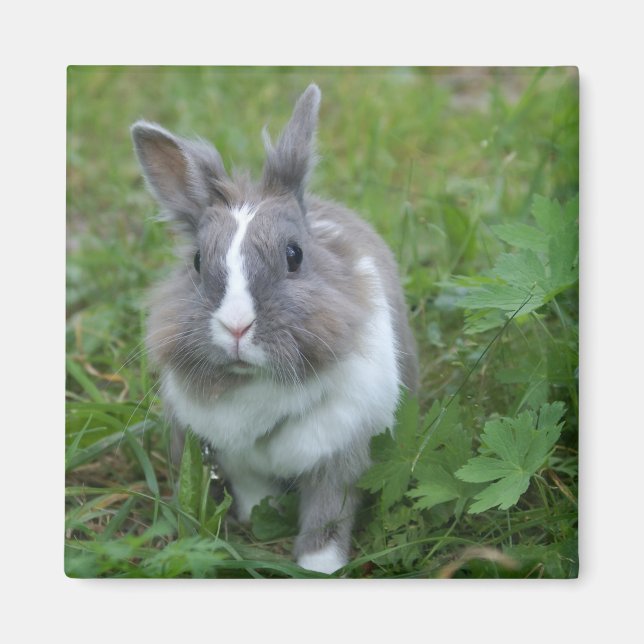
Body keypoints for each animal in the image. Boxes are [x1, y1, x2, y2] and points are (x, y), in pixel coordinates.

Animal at [131, 84, 418, 574]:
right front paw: (255, 519)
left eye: (294, 255)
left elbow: (328, 516)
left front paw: (319, 569)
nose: (237, 326)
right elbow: (255, 493)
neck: (259, 386)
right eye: (197, 262)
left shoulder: (341, 456)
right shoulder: (237, 460)